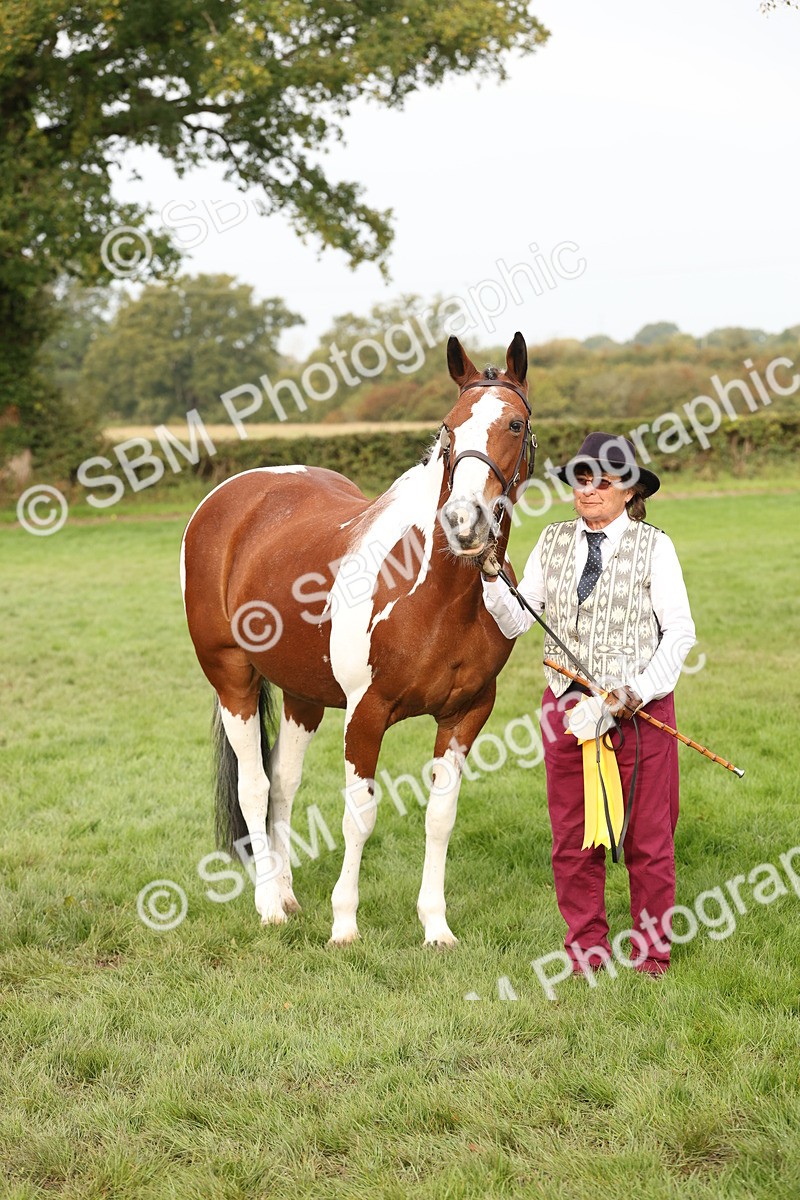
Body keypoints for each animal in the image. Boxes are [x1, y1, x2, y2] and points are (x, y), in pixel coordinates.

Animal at [181, 332, 535, 946]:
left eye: (514, 424)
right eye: (449, 427)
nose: (463, 521)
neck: (437, 594)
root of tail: (231, 498)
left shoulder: (466, 714)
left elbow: (440, 817)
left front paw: (435, 926)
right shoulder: (366, 714)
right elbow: (359, 815)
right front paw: (344, 923)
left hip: (301, 695)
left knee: (283, 784)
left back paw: (288, 893)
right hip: (231, 678)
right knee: (254, 786)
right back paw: (269, 905)